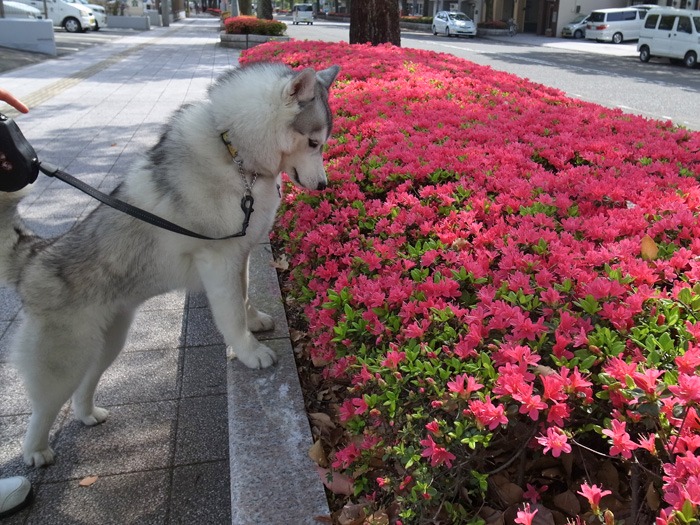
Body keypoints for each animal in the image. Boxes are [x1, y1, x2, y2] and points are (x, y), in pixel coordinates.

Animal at [0, 62, 340, 466]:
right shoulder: (218, 259)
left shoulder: (239, 254)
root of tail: (35, 256)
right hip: (64, 361)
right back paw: (35, 451)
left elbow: (243, 297)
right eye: (314, 143)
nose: (323, 186)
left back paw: (87, 414)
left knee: (86, 382)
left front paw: (254, 321)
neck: (235, 151)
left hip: (109, 341)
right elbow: (231, 313)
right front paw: (249, 351)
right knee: (43, 407)